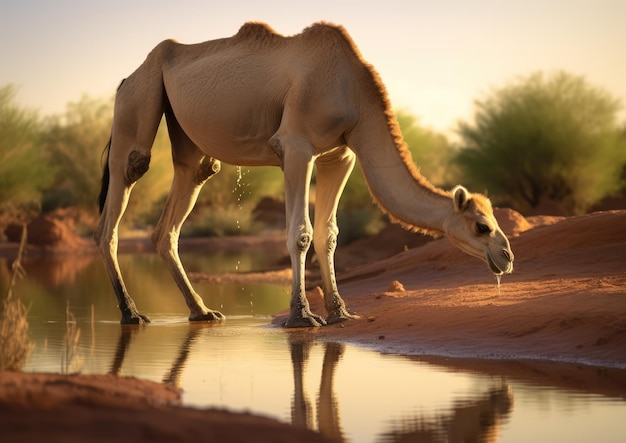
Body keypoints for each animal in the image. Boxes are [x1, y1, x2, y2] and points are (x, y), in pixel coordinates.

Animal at [94, 22, 512, 328]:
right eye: (482, 227)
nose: (506, 257)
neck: (355, 95)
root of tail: (125, 79)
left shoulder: (340, 155)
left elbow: (329, 234)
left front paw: (340, 313)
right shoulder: (296, 146)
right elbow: (301, 233)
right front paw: (302, 316)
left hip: (186, 137)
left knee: (184, 194)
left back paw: (202, 311)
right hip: (137, 100)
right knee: (126, 178)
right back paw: (132, 313)